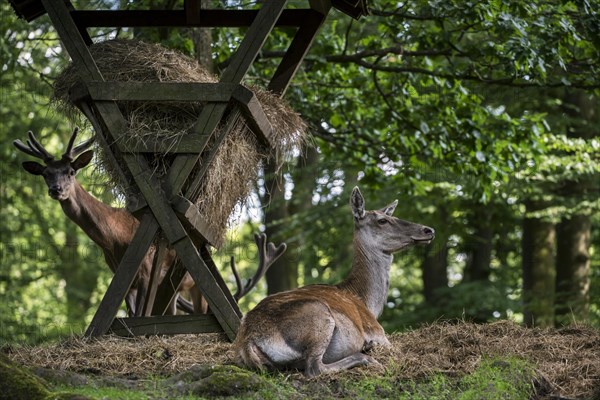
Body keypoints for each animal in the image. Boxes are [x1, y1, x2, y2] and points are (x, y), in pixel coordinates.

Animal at [232, 186, 434, 376]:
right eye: (382, 220)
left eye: (390, 215)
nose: (429, 230)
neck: (368, 303)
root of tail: (248, 340)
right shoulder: (378, 332)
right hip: (319, 316)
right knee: (314, 367)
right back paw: (366, 357)